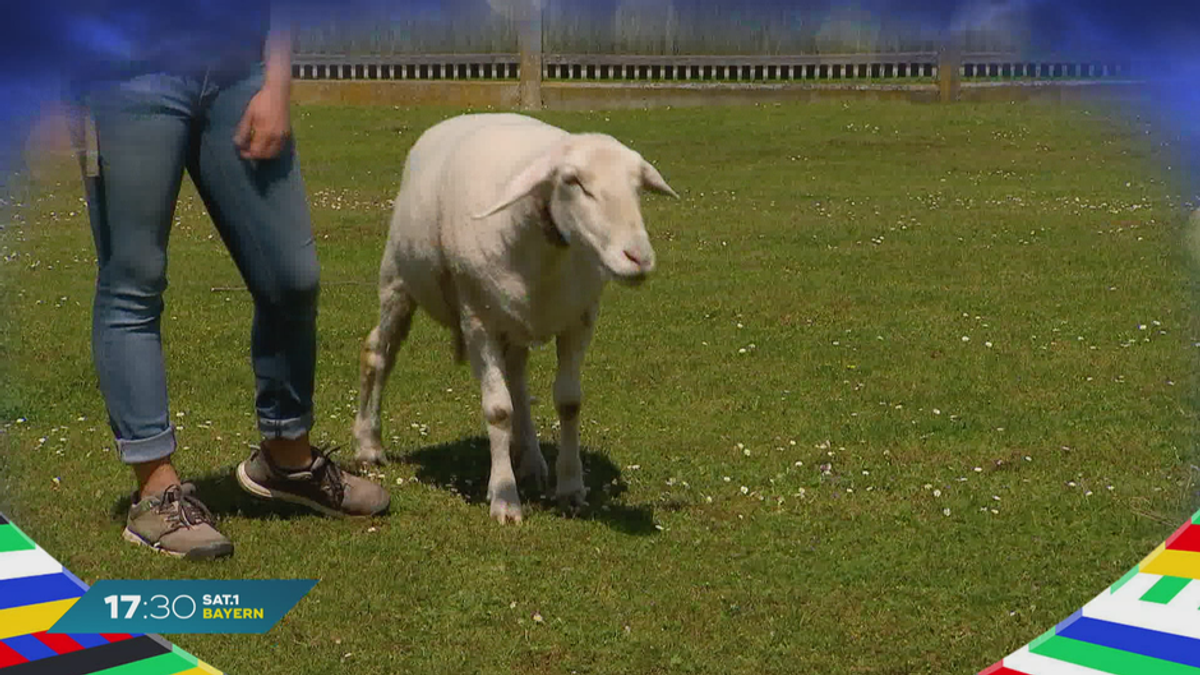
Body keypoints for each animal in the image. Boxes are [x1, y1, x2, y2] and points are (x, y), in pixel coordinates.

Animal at [350, 111, 681, 521]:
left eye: (637, 187)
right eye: (573, 181)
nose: (639, 258)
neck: (548, 255)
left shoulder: (579, 320)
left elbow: (568, 401)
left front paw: (570, 486)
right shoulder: (478, 322)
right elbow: (497, 410)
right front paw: (505, 498)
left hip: (514, 320)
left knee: (517, 378)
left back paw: (532, 460)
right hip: (397, 280)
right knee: (379, 353)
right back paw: (369, 444)